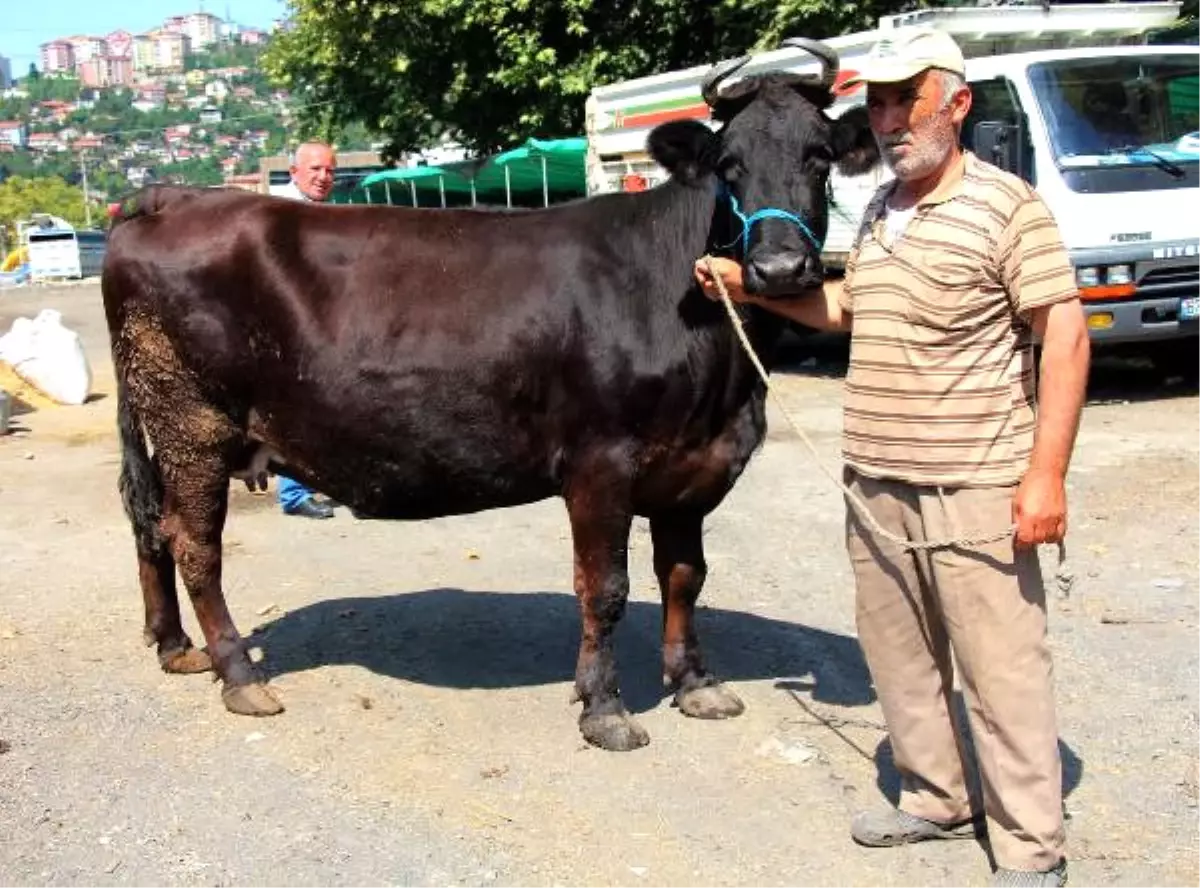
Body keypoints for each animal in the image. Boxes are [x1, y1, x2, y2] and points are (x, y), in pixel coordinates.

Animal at [103, 41, 878, 748]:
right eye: (728, 165)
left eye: (819, 157)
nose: (780, 267)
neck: (719, 376)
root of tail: (169, 196)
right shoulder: (601, 464)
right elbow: (606, 588)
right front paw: (605, 708)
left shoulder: (695, 465)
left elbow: (685, 576)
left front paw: (695, 684)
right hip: (193, 422)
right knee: (194, 543)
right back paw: (239, 675)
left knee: (150, 527)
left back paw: (176, 647)